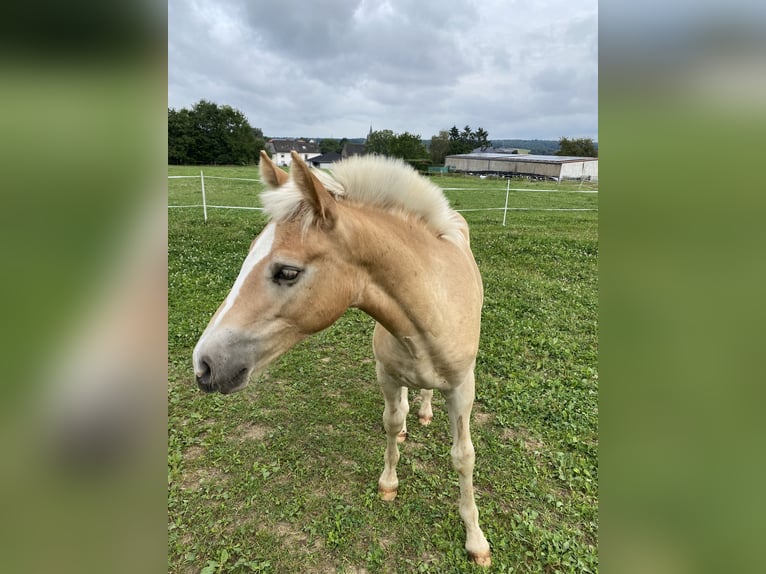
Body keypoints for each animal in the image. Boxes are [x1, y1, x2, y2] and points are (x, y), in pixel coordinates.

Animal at [192, 148, 492, 568]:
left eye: (287, 271)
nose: (204, 364)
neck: (430, 306)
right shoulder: (386, 375)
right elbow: (390, 421)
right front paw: (388, 483)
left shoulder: (464, 389)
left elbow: (463, 457)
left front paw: (476, 541)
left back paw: (426, 411)